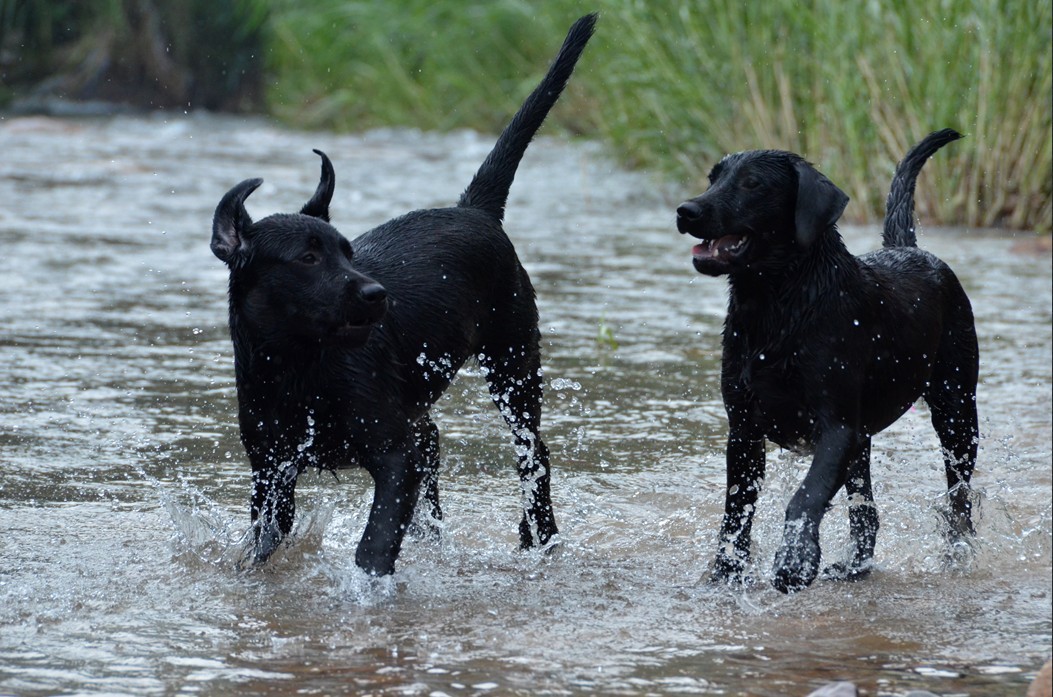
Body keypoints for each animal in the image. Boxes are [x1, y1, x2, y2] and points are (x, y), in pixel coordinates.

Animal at [209, 13, 598, 576]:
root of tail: (475, 209)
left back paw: (539, 538)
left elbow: (375, 541)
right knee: (436, 448)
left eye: (348, 251)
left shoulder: (394, 453)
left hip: (513, 359)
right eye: (308, 258)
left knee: (533, 454)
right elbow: (266, 536)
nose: (377, 294)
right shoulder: (270, 468)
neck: (302, 368)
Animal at [673, 128, 977, 593]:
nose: (686, 210)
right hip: (865, 443)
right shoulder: (743, 430)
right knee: (867, 513)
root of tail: (912, 250)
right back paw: (853, 568)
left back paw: (956, 555)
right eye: (713, 178)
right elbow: (736, 510)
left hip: (956, 410)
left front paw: (795, 561)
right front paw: (726, 572)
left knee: (959, 497)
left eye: (752, 184)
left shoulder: (837, 428)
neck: (779, 306)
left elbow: (806, 496)